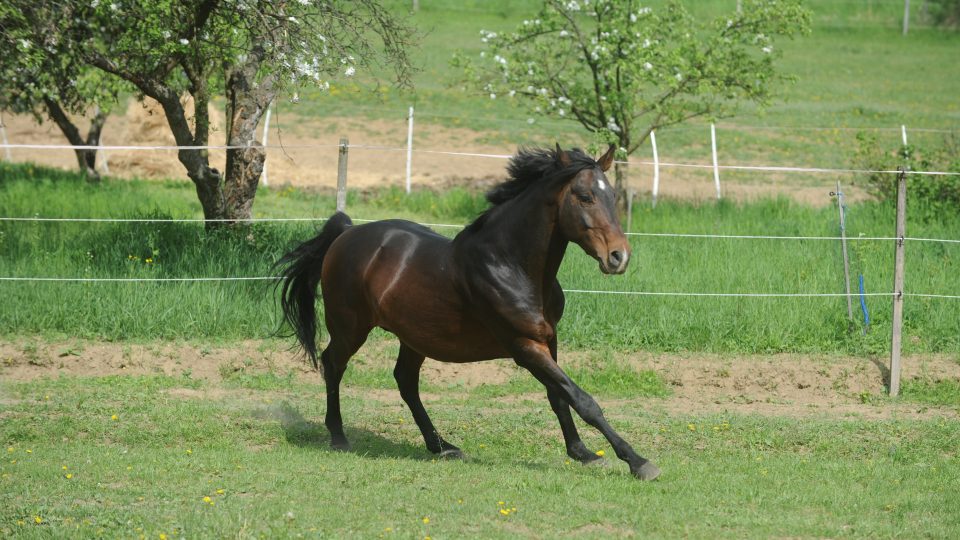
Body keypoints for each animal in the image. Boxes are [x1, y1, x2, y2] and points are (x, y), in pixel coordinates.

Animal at [278, 144, 660, 480]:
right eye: (584, 197)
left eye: (612, 196)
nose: (619, 257)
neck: (510, 264)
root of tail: (346, 233)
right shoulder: (523, 346)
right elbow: (582, 399)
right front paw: (638, 462)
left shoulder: (548, 339)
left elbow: (559, 396)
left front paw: (583, 453)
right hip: (350, 327)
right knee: (333, 364)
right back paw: (339, 436)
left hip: (413, 336)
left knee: (405, 381)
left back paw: (442, 446)